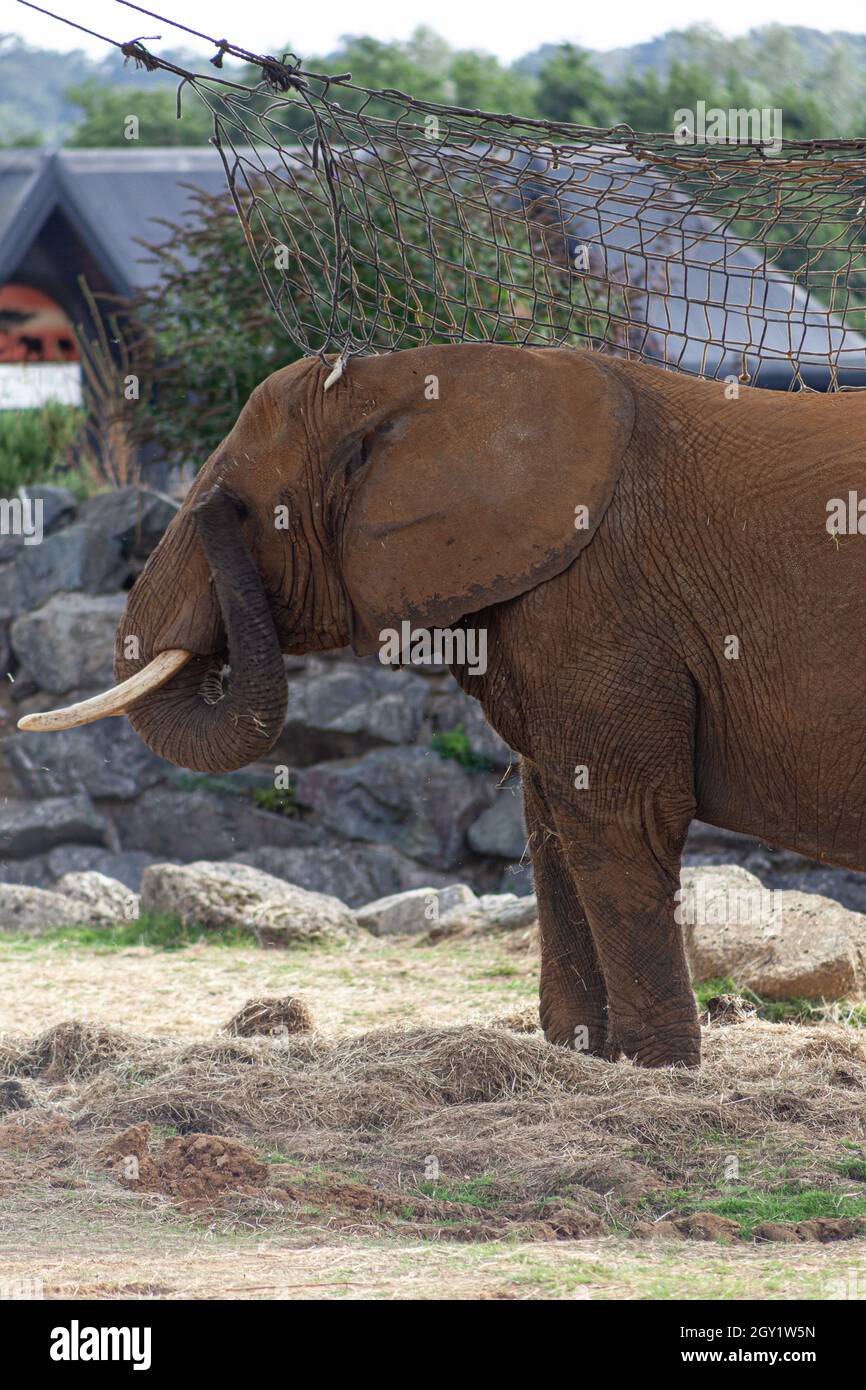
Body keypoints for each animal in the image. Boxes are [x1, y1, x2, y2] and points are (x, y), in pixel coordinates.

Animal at [20, 341, 866, 1067]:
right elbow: (551, 815)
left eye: (240, 510)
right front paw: (583, 1056)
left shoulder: (603, 601)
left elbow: (623, 812)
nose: (210, 513)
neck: (416, 377)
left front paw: (653, 1070)